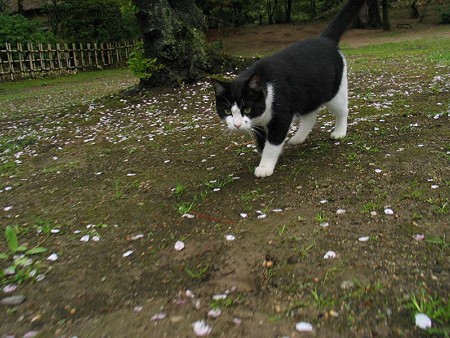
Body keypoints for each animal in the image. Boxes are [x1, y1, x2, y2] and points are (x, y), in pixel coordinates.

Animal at [212, 0, 366, 177]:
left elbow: (273, 142)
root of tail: (326, 40)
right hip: (307, 94)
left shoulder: (281, 115)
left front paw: (265, 166)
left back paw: (339, 132)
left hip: (333, 91)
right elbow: (261, 141)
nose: (237, 125)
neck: (266, 88)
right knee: (310, 115)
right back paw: (298, 138)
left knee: (342, 110)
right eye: (227, 111)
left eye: (248, 109)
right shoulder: (259, 123)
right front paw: (264, 154)